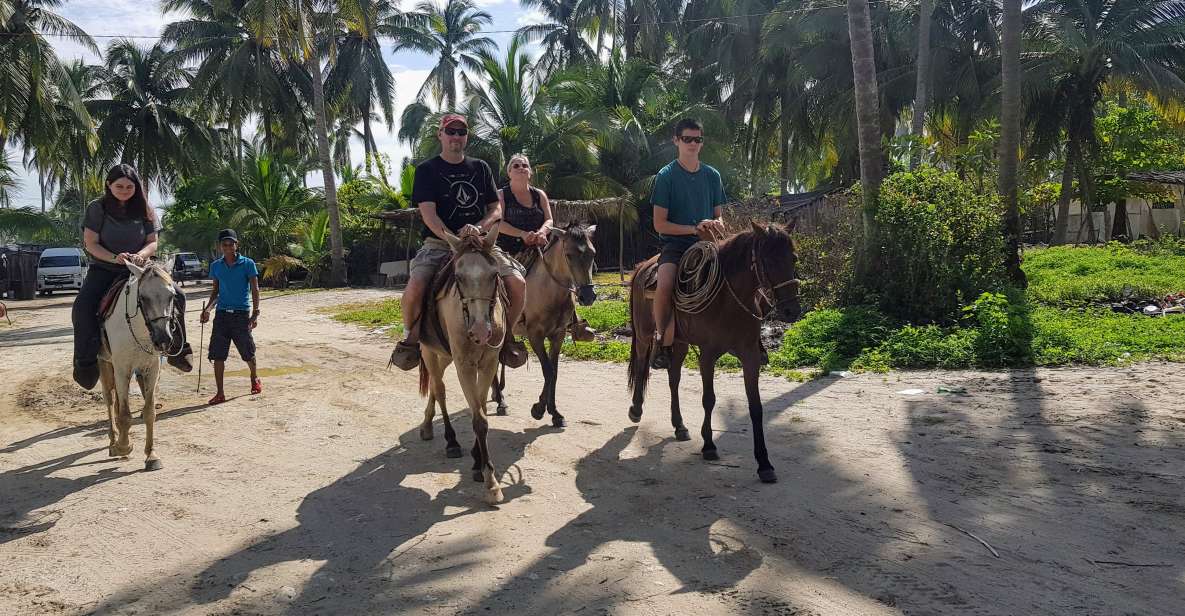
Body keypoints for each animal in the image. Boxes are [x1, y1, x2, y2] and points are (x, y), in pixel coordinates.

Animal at [99, 260, 184, 471]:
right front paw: (123, 446)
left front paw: (151, 455)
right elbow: (124, 415)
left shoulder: (152, 369)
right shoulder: (122, 369)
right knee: (109, 399)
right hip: (104, 363)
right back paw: (113, 442)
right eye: (143, 298)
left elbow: (149, 412)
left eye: (172, 295)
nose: (163, 339)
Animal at [417, 228, 509, 502]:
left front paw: (478, 463)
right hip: (429, 351)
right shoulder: (465, 366)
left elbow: (482, 410)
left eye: (494, 274)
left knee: (435, 387)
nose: (480, 331)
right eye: (457, 277)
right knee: (439, 389)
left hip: (445, 356)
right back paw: (450, 441)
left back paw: (427, 426)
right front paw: (491, 483)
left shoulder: (488, 362)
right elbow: (478, 419)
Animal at [490, 222, 597, 428]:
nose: (588, 296)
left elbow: (554, 372)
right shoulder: (535, 336)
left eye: (592, 253)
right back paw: (500, 401)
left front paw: (555, 413)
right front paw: (539, 409)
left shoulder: (558, 335)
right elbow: (547, 370)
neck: (549, 290)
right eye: (569, 255)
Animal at [625, 223, 801, 483]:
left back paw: (679, 425)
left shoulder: (750, 357)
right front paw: (709, 445)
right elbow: (709, 399)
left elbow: (755, 407)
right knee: (640, 366)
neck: (728, 301)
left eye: (793, 258)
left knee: (674, 378)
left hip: (679, 342)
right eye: (767, 260)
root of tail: (641, 267)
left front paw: (764, 463)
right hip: (645, 334)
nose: (792, 311)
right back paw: (636, 410)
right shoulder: (708, 356)